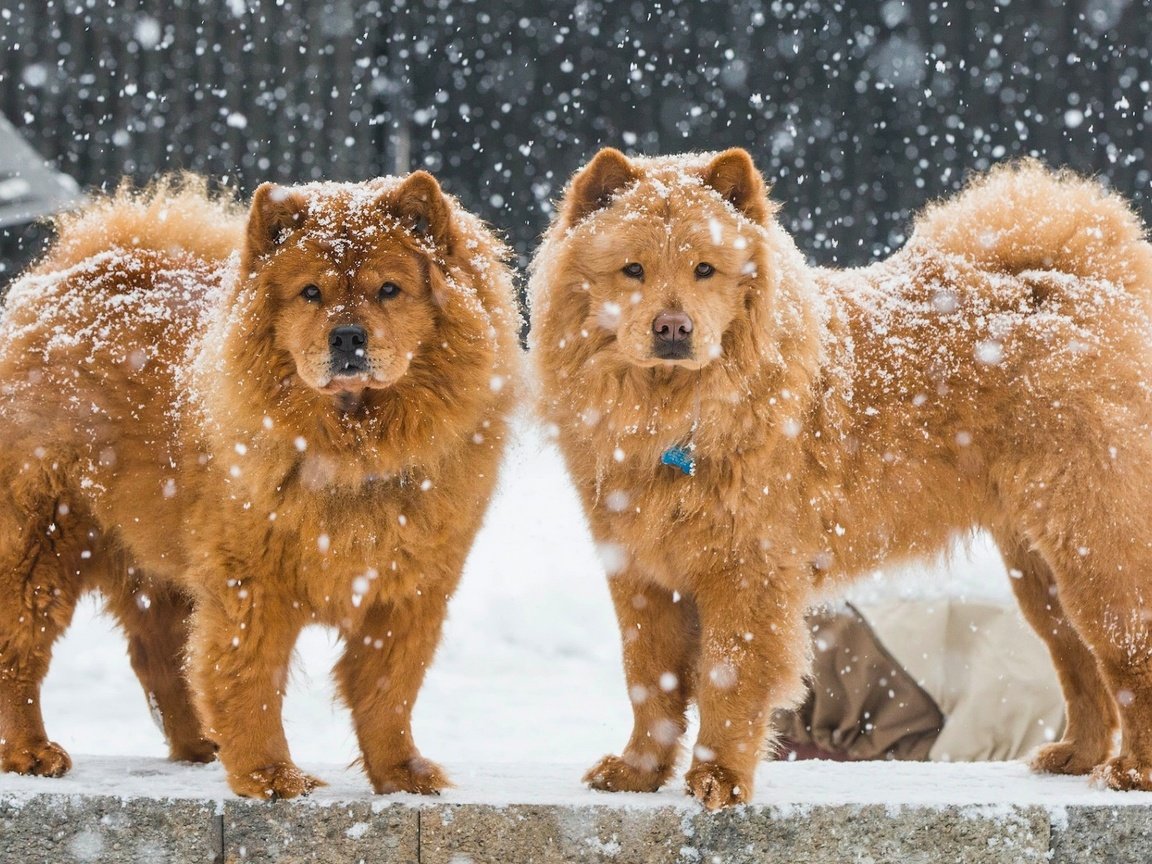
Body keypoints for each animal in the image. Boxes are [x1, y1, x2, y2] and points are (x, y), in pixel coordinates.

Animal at [0, 172, 518, 801]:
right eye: (311, 293)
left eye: (389, 290)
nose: (348, 337)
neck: (351, 449)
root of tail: (66, 277)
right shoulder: (252, 582)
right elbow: (249, 677)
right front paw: (270, 775)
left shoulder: (410, 587)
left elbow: (388, 688)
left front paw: (402, 774)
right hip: (42, 540)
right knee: (19, 651)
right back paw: (30, 752)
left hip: (156, 564)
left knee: (160, 657)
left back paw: (201, 746)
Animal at [529, 147, 1152, 811]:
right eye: (633, 270)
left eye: (704, 269)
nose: (673, 326)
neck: (672, 417)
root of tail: (1094, 281)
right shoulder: (640, 571)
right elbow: (652, 681)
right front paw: (636, 772)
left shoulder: (746, 570)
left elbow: (727, 679)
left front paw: (719, 779)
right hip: (1040, 573)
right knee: (1077, 662)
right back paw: (1076, 756)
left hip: (1095, 550)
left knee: (1125, 657)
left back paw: (1132, 771)